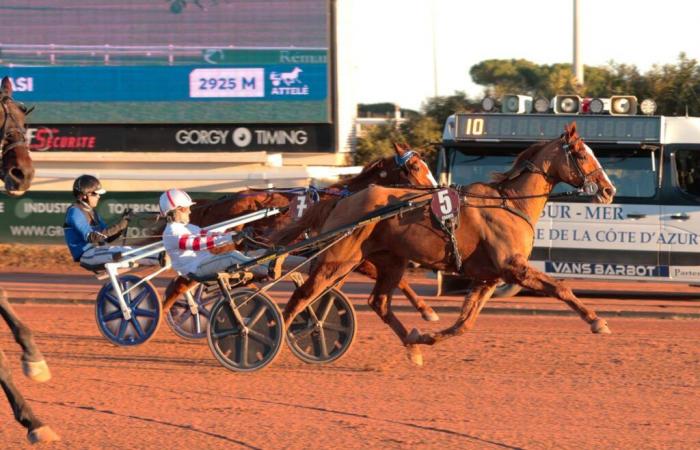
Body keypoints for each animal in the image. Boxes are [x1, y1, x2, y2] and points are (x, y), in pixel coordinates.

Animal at [161, 142, 440, 322]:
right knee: (179, 285)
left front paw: (426, 310)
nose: (436, 190)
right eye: (416, 168)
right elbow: (396, 278)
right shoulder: (349, 252)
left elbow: (396, 279)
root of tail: (215, 204)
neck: (349, 199)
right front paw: (428, 310)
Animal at [274, 122, 616, 366]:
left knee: (378, 302)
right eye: (582, 154)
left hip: (385, 262)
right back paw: (272, 340)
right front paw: (596, 321)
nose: (608, 190)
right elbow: (561, 288)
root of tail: (344, 198)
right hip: (336, 259)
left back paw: (410, 345)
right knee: (302, 296)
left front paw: (423, 338)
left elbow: (464, 324)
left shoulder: (488, 277)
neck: (510, 203)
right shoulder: (513, 268)